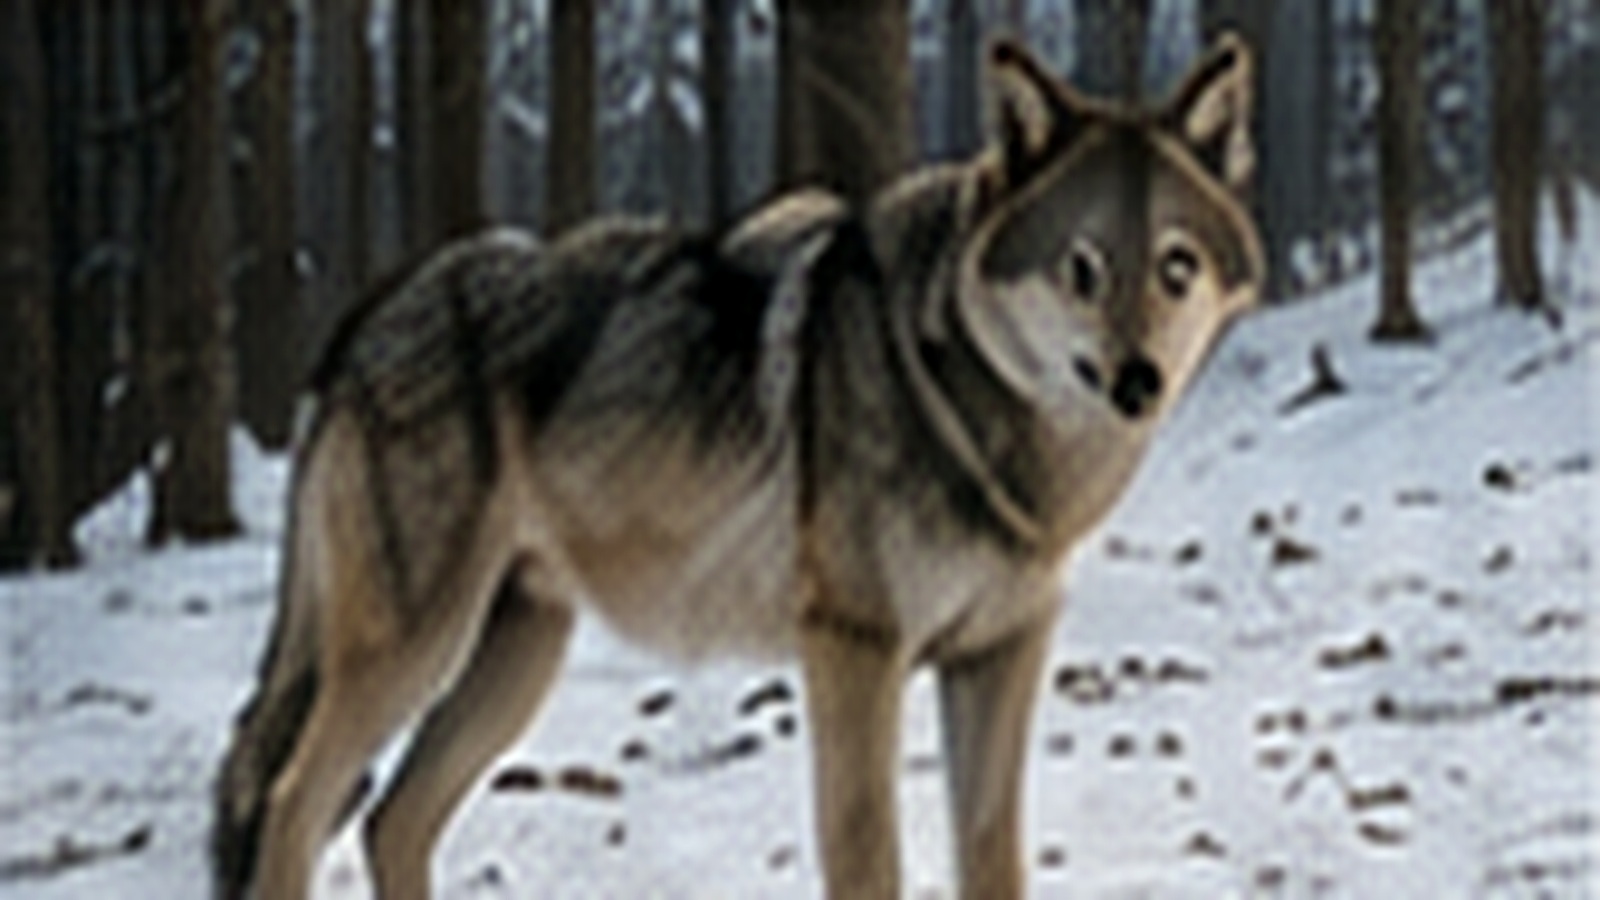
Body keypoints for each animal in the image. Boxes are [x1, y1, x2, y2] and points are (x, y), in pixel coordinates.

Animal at [213, 33, 1262, 900]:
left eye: (1174, 265)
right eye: (1081, 267)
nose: (1138, 381)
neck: (964, 406)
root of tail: (368, 317)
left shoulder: (999, 656)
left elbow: (993, 862)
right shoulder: (854, 651)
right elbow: (867, 863)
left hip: (513, 664)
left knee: (390, 820)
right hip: (411, 654)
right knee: (290, 804)